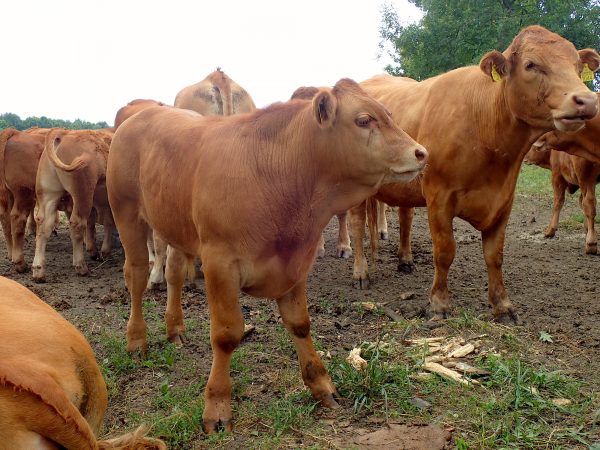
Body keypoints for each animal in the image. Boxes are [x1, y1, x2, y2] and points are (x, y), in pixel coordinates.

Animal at [33, 127, 116, 282]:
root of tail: (64, 133)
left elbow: (106, 223)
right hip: (83, 195)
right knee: (77, 224)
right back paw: (81, 266)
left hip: (48, 194)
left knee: (43, 225)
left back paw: (38, 270)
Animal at [106, 78, 426, 432]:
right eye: (364, 120)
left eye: (389, 114)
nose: (421, 152)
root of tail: (144, 114)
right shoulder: (219, 264)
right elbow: (226, 335)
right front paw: (217, 405)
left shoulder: (296, 263)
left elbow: (300, 324)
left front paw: (321, 385)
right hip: (126, 213)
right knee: (135, 274)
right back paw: (137, 341)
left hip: (174, 223)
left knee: (175, 271)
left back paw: (175, 330)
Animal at [350, 25, 596, 324]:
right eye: (531, 64)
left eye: (577, 66)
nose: (586, 100)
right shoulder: (439, 199)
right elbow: (445, 251)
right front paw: (439, 303)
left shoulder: (504, 200)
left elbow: (495, 255)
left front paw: (502, 305)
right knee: (357, 224)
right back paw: (360, 272)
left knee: (405, 218)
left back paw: (405, 261)